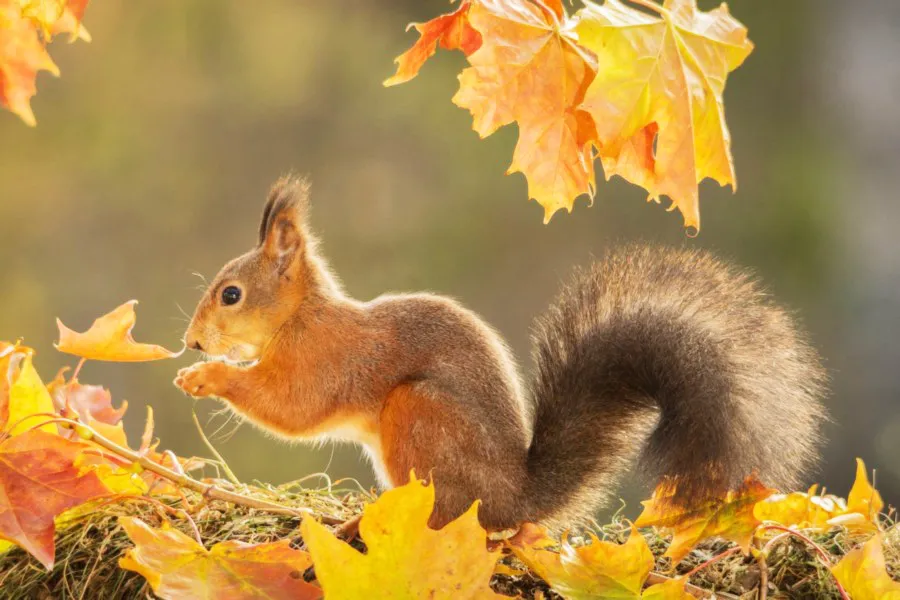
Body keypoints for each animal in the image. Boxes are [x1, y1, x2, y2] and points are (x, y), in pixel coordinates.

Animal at [176, 177, 828, 528]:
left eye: (231, 294)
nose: (191, 341)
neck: (300, 319)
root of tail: (514, 501)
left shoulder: (327, 360)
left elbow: (291, 408)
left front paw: (208, 376)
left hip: (419, 415)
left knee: (449, 515)